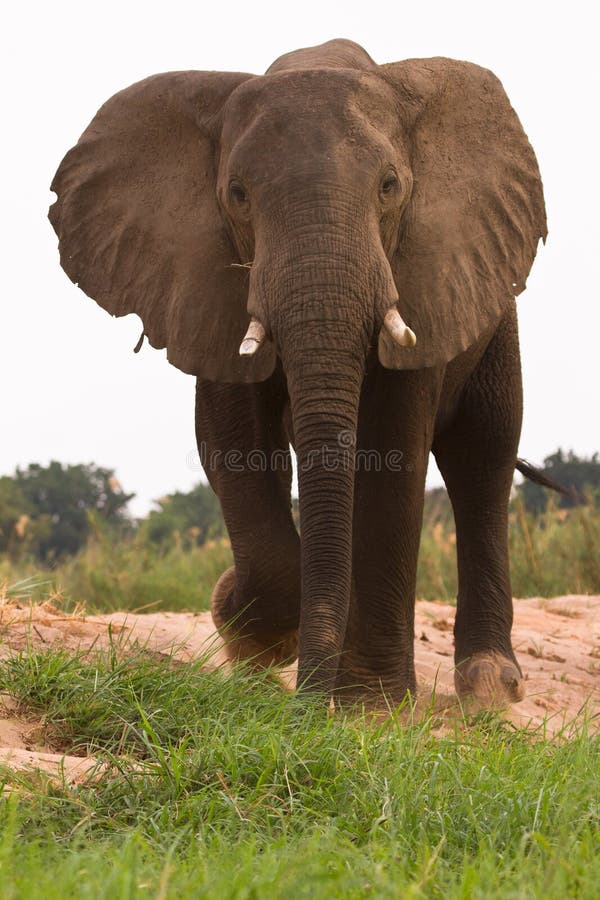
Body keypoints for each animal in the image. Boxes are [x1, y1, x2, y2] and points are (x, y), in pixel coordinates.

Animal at [49, 39, 547, 709]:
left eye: (390, 186)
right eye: (237, 194)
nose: (304, 707)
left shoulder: (422, 271)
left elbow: (391, 451)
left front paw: (371, 708)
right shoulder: (207, 283)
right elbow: (234, 445)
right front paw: (251, 636)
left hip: (493, 313)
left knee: (483, 455)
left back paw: (488, 685)